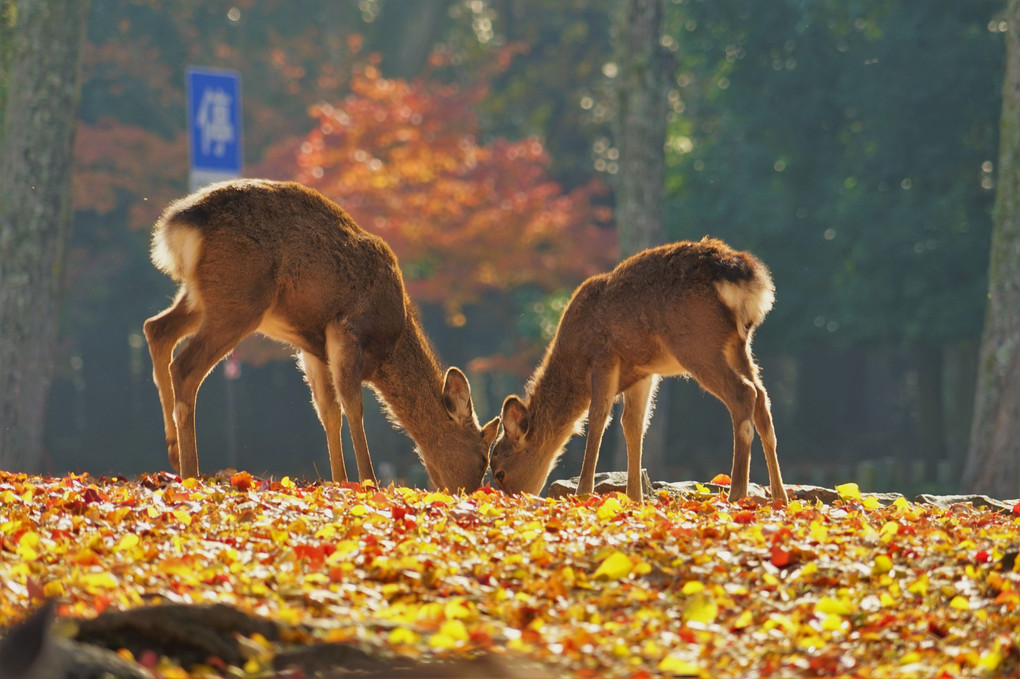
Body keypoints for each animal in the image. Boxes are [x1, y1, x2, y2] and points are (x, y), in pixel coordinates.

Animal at [141, 178, 499, 487]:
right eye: (483, 457)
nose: (469, 491)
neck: (390, 347)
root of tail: (178, 223)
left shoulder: (313, 350)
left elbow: (329, 412)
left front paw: (340, 481)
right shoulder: (346, 329)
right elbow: (353, 405)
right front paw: (368, 482)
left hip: (202, 296)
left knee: (157, 328)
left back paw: (173, 450)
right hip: (238, 297)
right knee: (184, 366)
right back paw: (190, 472)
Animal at [489, 237, 791, 501]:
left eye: (500, 472)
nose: (512, 498)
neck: (572, 360)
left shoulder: (604, 355)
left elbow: (598, 417)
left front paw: (583, 493)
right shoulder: (643, 372)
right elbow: (633, 425)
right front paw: (635, 497)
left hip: (697, 342)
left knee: (744, 393)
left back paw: (736, 493)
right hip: (738, 345)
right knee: (762, 399)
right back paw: (780, 496)